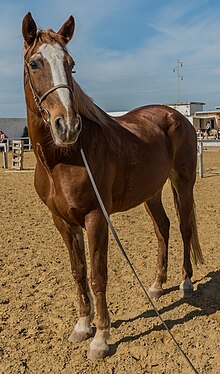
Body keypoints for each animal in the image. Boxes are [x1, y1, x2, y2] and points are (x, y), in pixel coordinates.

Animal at [21, 13, 204, 360]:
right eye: (35, 63)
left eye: (70, 64)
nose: (67, 126)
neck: (64, 158)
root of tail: (176, 114)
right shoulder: (62, 221)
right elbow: (78, 272)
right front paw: (82, 326)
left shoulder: (95, 218)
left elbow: (97, 275)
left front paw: (101, 339)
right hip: (151, 193)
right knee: (163, 228)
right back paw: (157, 285)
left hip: (183, 182)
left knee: (185, 227)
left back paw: (186, 283)